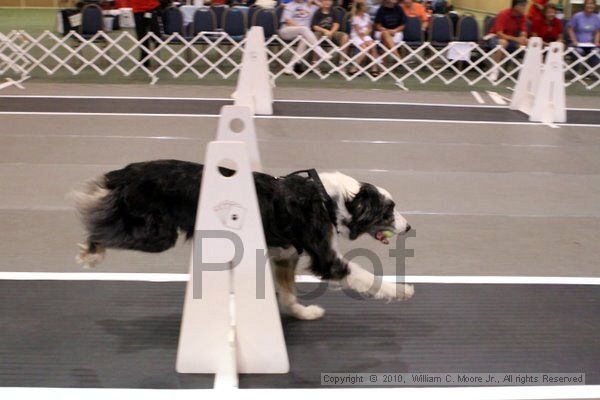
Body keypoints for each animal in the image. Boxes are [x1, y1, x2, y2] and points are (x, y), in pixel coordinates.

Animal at [74, 159, 412, 318]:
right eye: (389, 211)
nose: (408, 227)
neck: (329, 198)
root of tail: (127, 171)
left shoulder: (284, 255)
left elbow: (288, 294)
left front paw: (303, 313)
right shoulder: (327, 259)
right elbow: (367, 277)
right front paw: (402, 291)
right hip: (157, 234)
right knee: (102, 225)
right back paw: (91, 251)